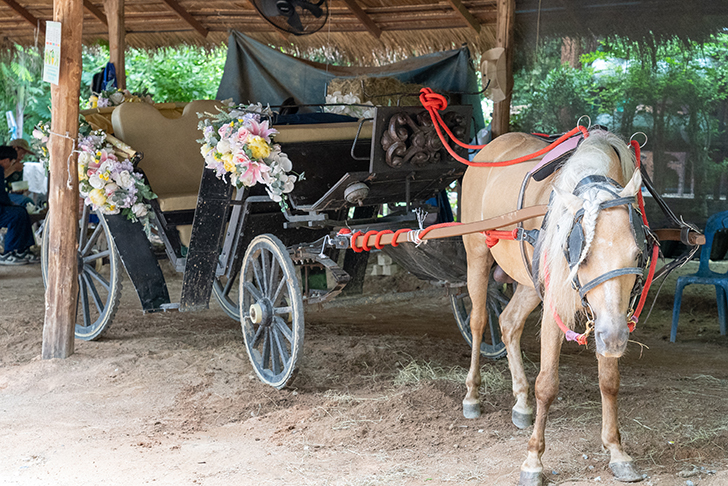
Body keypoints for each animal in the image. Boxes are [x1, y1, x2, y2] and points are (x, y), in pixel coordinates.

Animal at [464, 130, 644, 486]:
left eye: (636, 254)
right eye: (582, 256)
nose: (616, 337)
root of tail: (492, 145)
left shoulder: (609, 318)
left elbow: (609, 381)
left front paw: (616, 451)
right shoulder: (556, 307)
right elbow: (546, 385)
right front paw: (533, 460)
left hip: (528, 279)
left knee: (509, 322)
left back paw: (521, 402)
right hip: (477, 253)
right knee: (478, 322)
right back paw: (472, 395)